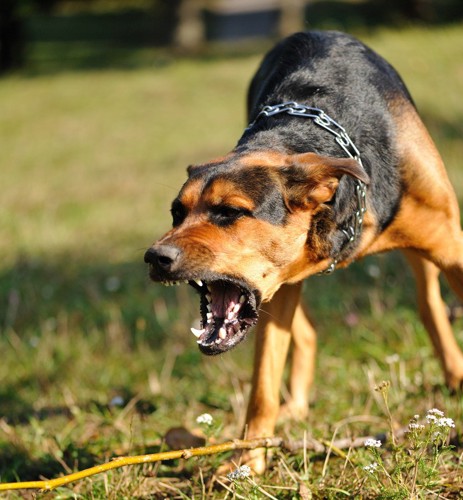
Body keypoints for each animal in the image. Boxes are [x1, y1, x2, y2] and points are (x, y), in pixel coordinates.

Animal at [145, 31, 463, 472]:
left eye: (230, 212)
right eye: (177, 212)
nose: (156, 257)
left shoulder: (451, 246)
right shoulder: (273, 292)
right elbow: (262, 386)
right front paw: (248, 464)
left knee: (427, 300)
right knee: (306, 332)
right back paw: (293, 407)